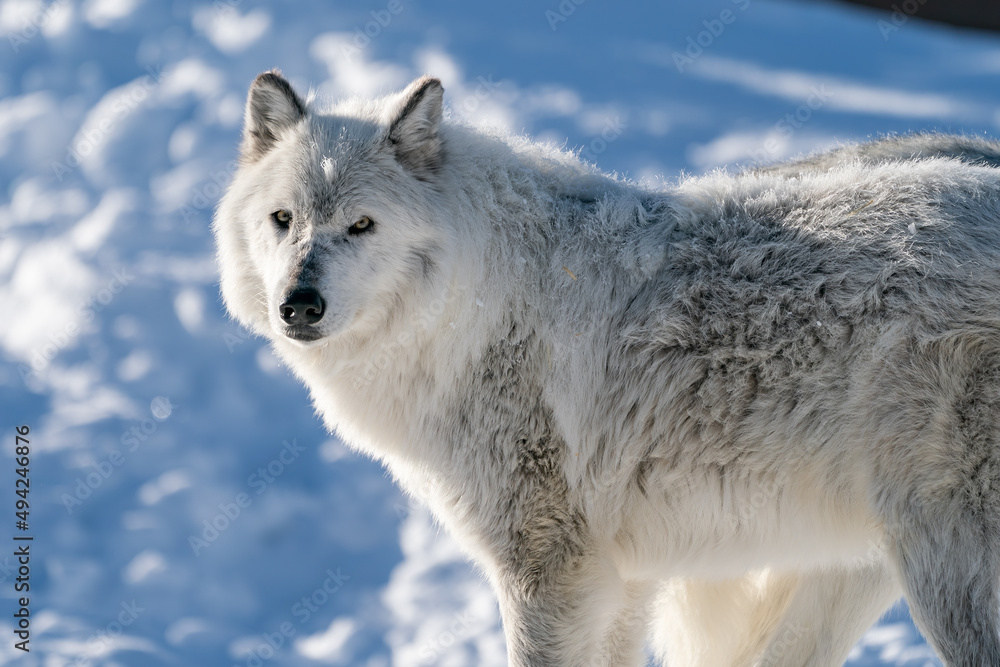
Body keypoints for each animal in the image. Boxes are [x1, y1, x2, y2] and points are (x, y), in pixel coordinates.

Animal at [214, 70, 1000, 666]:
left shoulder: (550, 574)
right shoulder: (624, 581)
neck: (475, 306)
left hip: (943, 575)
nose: (299, 305)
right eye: (283, 219)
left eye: (361, 225)